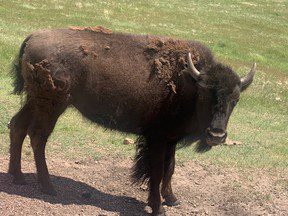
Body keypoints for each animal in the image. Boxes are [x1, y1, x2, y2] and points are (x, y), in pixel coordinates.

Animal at [9, 27, 256, 216]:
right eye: (205, 95)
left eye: (235, 100)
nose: (217, 135)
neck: (188, 82)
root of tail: (32, 37)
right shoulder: (157, 139)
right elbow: (156, 171)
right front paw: (158, 208)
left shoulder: (171, 139)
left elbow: (170, 167)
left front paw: (172, 198)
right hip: (52, 106)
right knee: (38, 137)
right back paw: (48, 186)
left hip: (34, 101)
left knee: (17, 126)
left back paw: (18, 176)